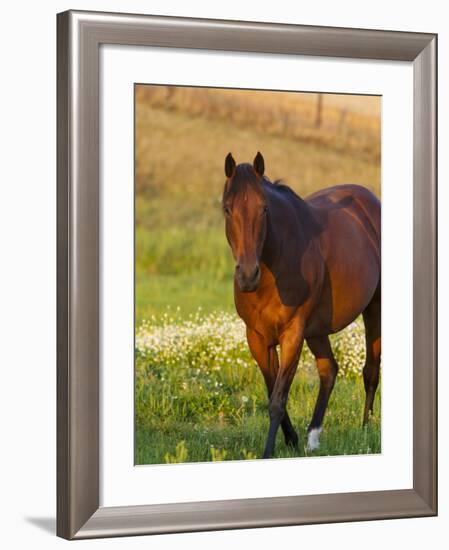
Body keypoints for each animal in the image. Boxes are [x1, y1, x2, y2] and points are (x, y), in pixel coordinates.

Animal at [220, 152, 378, 462]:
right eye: (227, 209)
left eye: (264, 209)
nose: (248, 275)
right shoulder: (257, 338)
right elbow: (272, 391)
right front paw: (291, 439)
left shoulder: (292, 334)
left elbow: (278, 399)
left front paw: (268, 452)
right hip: (316, 330)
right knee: (329, 370)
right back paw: (313, 437)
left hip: (374, 308)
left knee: (370, 371)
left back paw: (365, 430)